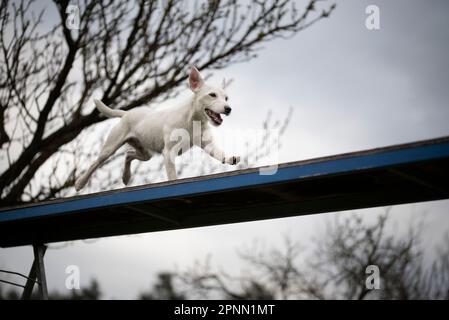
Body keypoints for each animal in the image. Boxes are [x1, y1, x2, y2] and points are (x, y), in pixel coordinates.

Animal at [74, 65, 238, 190]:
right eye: (212, 95)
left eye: (226, 98)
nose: (229, 108)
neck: (192, 119)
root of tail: (126, 113)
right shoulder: (169, 153)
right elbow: (172, 176)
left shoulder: (208, 145)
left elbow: (220, 154)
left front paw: (230, 158)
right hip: (110, 148)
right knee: (96, 163)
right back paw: (80, 183)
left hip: (145, 153)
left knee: (128, 155)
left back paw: (126, 177)